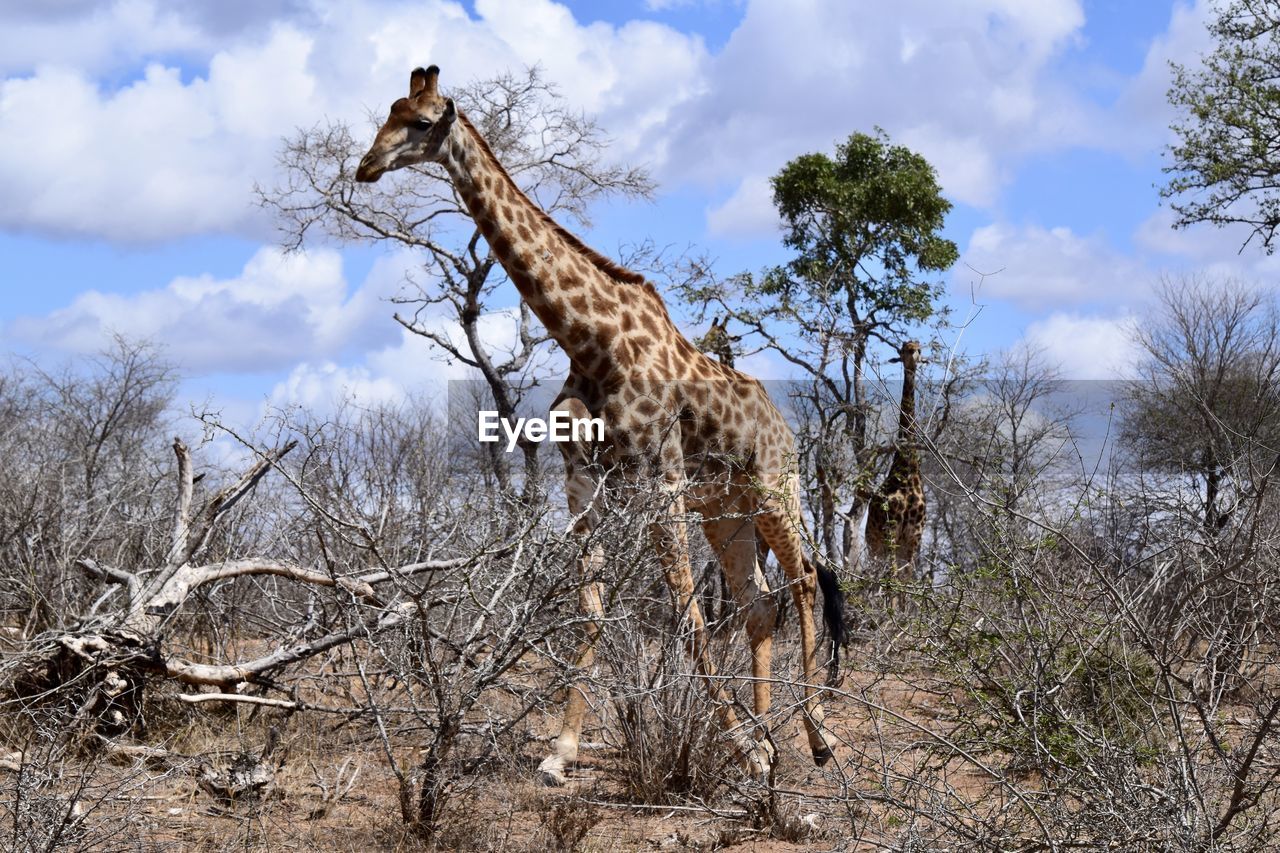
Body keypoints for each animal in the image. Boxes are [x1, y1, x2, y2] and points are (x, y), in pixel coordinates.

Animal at [355, 66, 844, 783]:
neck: (590, 341)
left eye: (420, 121)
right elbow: (589, 611)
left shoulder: (660, 480)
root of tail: (787, 428)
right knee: (761, 602)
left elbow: (688, 617)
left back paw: (813, 733)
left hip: (774, 489)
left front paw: (741, 744)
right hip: (723, 512)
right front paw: (562, 752)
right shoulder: (583, 481)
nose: (365, 165)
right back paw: (769, 732)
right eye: (385, 112)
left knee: (805, 580)